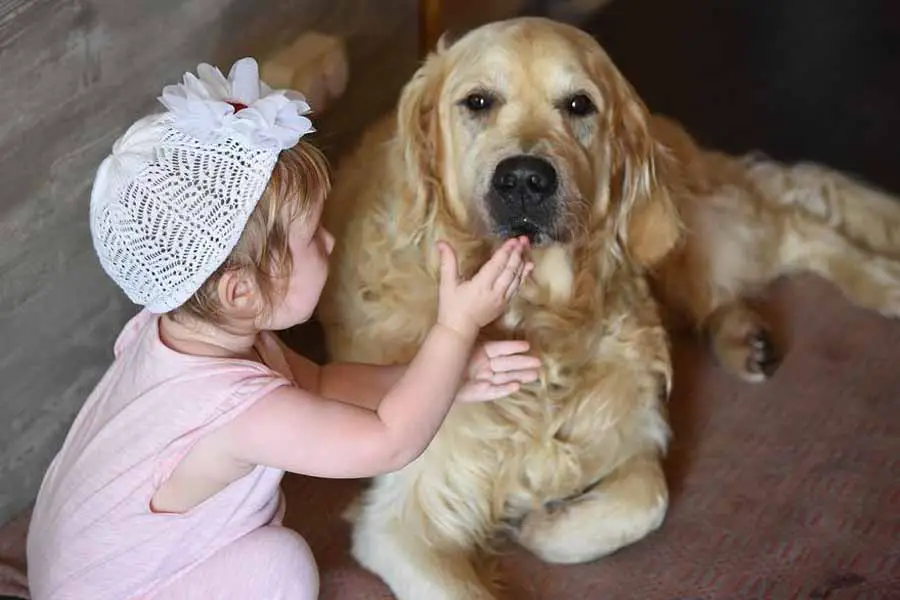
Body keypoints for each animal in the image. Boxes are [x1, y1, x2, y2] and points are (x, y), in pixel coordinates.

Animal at [316, 16, 900, 596]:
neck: (539, 319)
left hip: (682, 228)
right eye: (477, 101)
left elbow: (649, 499)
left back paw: (880, 281)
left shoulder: (633, 434)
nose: (524, 179)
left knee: (797, 225)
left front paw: (541, 523)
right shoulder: (401, 520)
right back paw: (745, 337)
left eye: (579, 105)